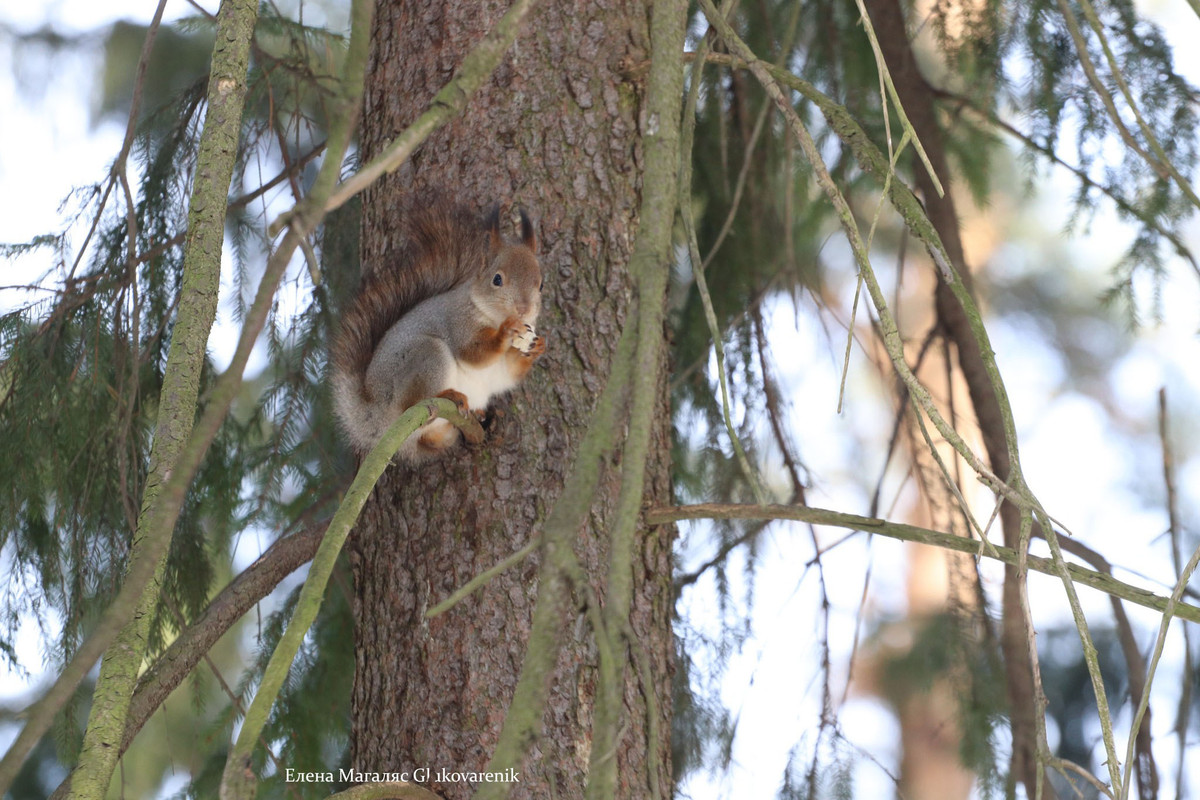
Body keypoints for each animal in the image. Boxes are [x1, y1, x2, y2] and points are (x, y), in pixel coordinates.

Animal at [333, 200, 549, 460]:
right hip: (425, 357)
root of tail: (375, 416)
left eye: (541, 284)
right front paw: (505, 333)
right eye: (497, 280)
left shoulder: (501, 368)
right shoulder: (458, 322)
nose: (523, 309)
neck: (491, 316)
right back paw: (447, 396)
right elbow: (472, 352)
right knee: (412, 403)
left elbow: (508, 373)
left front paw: (537, 347)